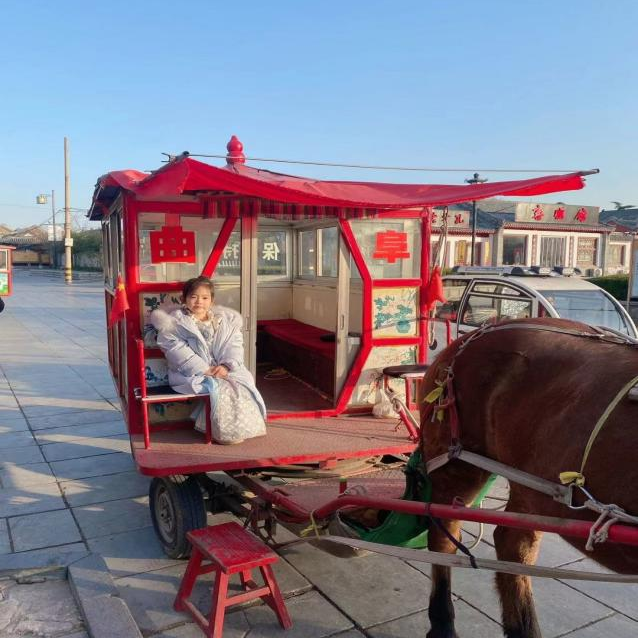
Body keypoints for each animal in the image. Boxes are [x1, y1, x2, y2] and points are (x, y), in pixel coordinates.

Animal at [420, 318, 638, 638]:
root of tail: (474, 333)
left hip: (532, 484)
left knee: (513, 545)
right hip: (457, 459)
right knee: (443, 536)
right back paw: (443, 623)